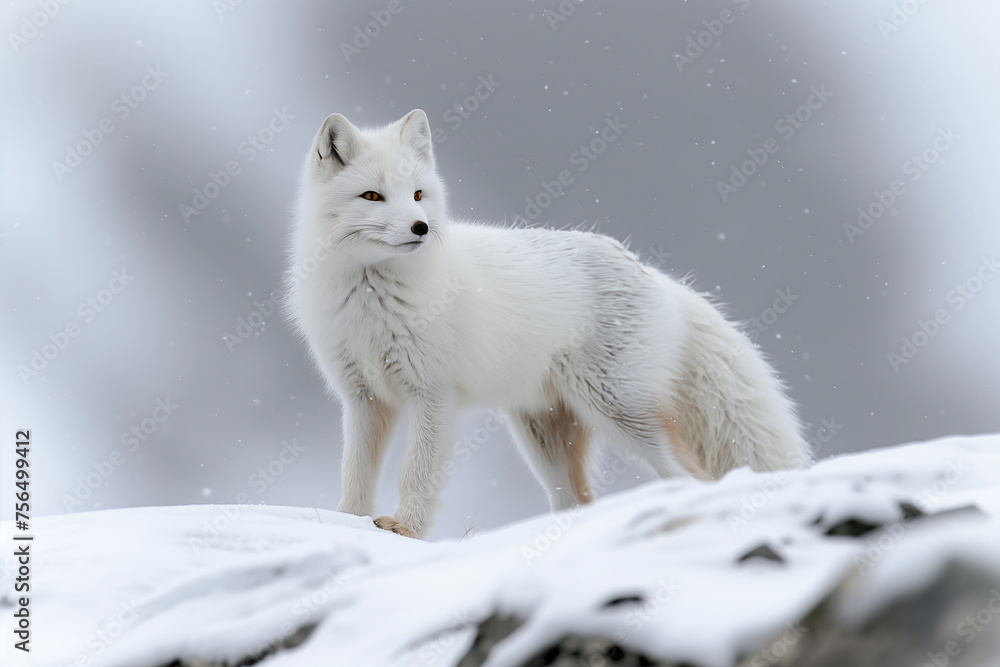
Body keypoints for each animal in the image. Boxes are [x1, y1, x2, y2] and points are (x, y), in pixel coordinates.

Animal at [286, 109, 810, 539]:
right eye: (372, 196)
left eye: (418, 194)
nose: (421, 227)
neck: (372, 299)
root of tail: (651, 271)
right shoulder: (363, 398)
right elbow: (356, 472)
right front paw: (346, 520)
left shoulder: (433, 395)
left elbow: (415, 473)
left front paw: (405, 530)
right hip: (545, 434)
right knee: (578, 500)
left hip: (619, 410)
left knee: (691, 477)